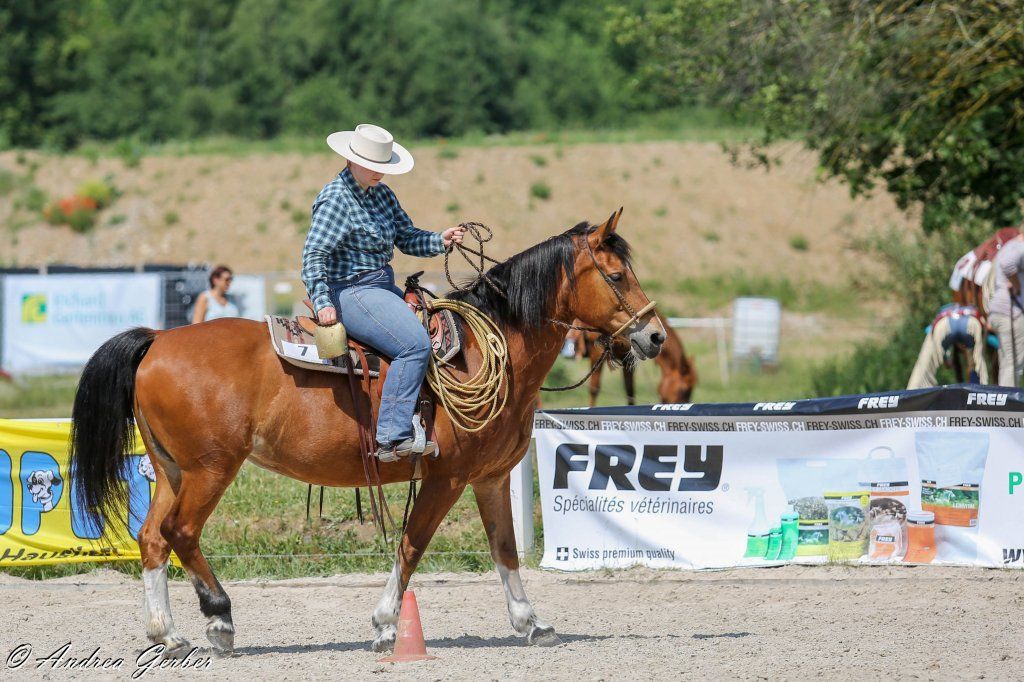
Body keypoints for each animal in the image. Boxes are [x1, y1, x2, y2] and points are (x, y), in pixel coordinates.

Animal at [69, 209, 665, 655]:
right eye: (616, 276)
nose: (656, 335)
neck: (485, 348)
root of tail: (158, 339)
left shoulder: (490, 478)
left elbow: (505, 549)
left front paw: (530, 622)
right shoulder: (447, 477)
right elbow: (412, 545)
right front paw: (384, 624)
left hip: (172, 468)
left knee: (151, 538)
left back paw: (167, 633)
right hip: (210, 469)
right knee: (181, 532)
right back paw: (219, 620)